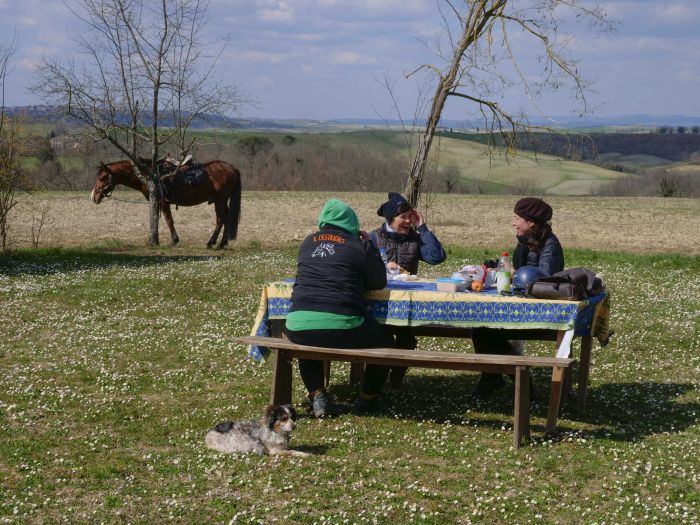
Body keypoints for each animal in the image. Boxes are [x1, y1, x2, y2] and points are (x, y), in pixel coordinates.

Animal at [91, 158, 242, 248]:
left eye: (103, 177)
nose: (94, 196)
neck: (149, 175)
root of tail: (233, 168)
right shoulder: (157, 203)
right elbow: (157, 220)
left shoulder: (163, 202)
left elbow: (169, 220)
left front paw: (174, 240)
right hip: (222, 200)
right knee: (227, 218)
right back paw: (222, 243)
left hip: (220, 200)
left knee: (220, 219)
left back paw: (211, 242)